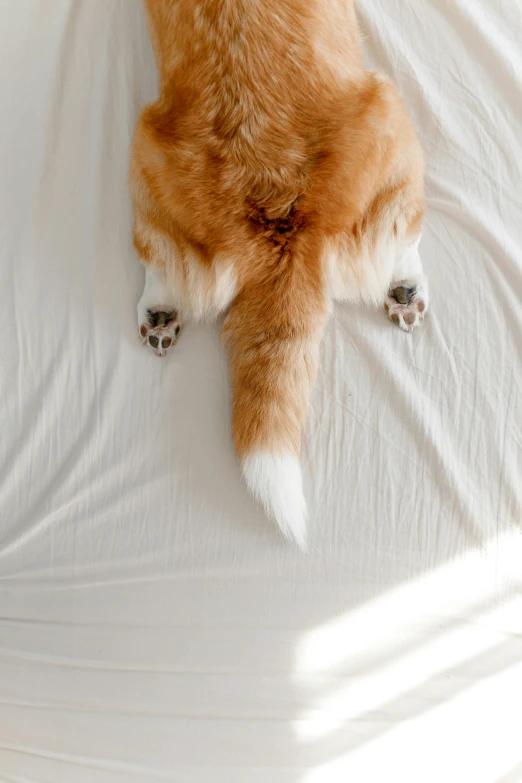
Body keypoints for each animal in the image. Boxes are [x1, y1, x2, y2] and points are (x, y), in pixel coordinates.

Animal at [129, 1, 422, 552]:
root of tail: (277, 226)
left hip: (145, 157)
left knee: (160, 262)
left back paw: (159, 319)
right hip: (391, 111)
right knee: (406, 233)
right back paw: (406, 290)